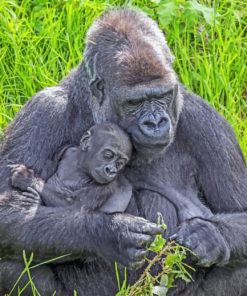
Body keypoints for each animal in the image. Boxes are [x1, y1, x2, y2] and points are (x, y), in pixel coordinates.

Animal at [0, 7, 247, 296]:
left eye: (162, 95)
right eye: (135, 102)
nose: (155, 122)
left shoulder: (208, 123)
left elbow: (240, 211)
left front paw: (209, 236)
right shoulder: (43, 111)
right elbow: (9, 212)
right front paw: (112, 235)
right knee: (9, 261)